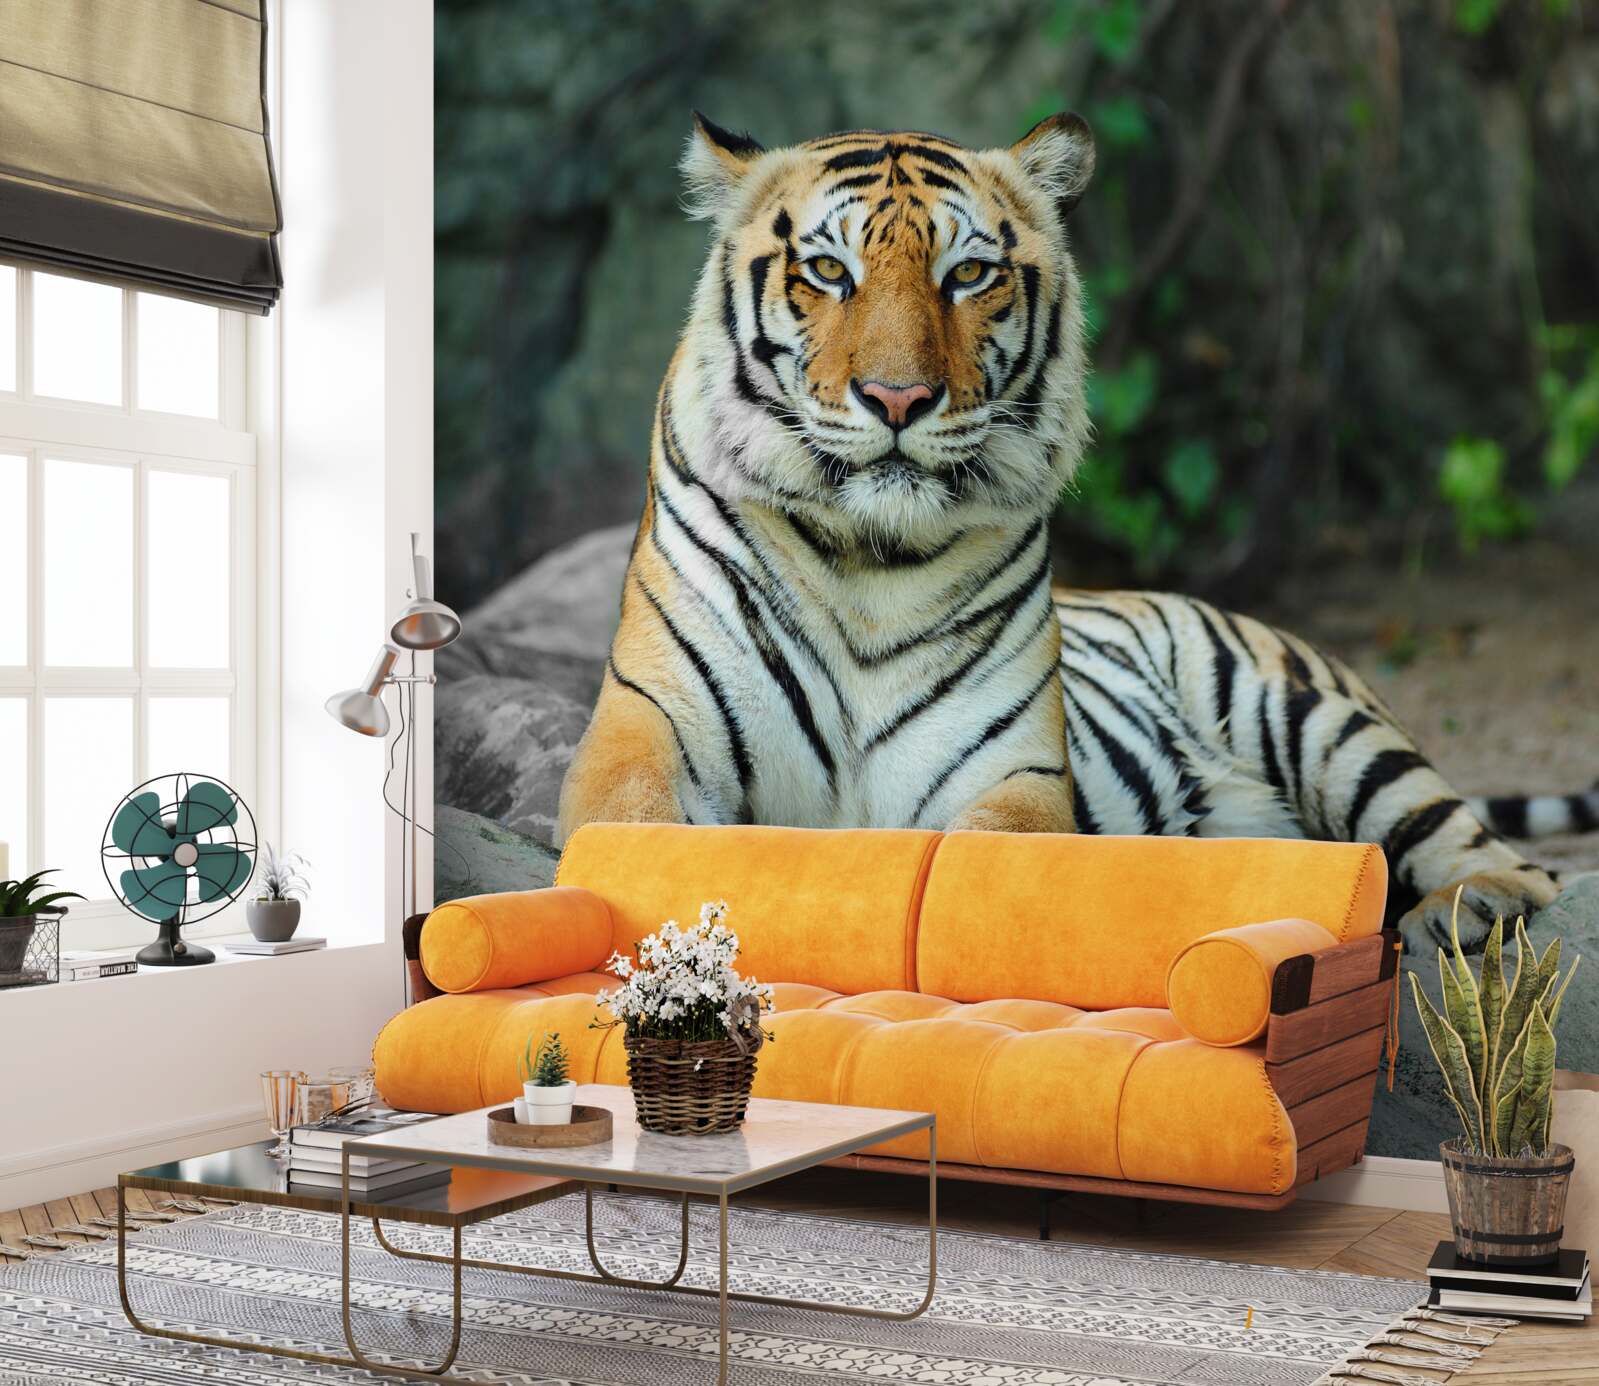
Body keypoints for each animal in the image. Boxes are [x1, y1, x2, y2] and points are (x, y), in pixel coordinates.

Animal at [556, 112, 1595, 952]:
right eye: (827, 271)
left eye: (967, 275)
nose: (897, 398)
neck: (867, 559)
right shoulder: (646, 731)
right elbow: (636, 838)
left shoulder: (1008, 772)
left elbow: (976, 869)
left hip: (1316, 721)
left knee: (1503, 858)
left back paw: (1469, 908)